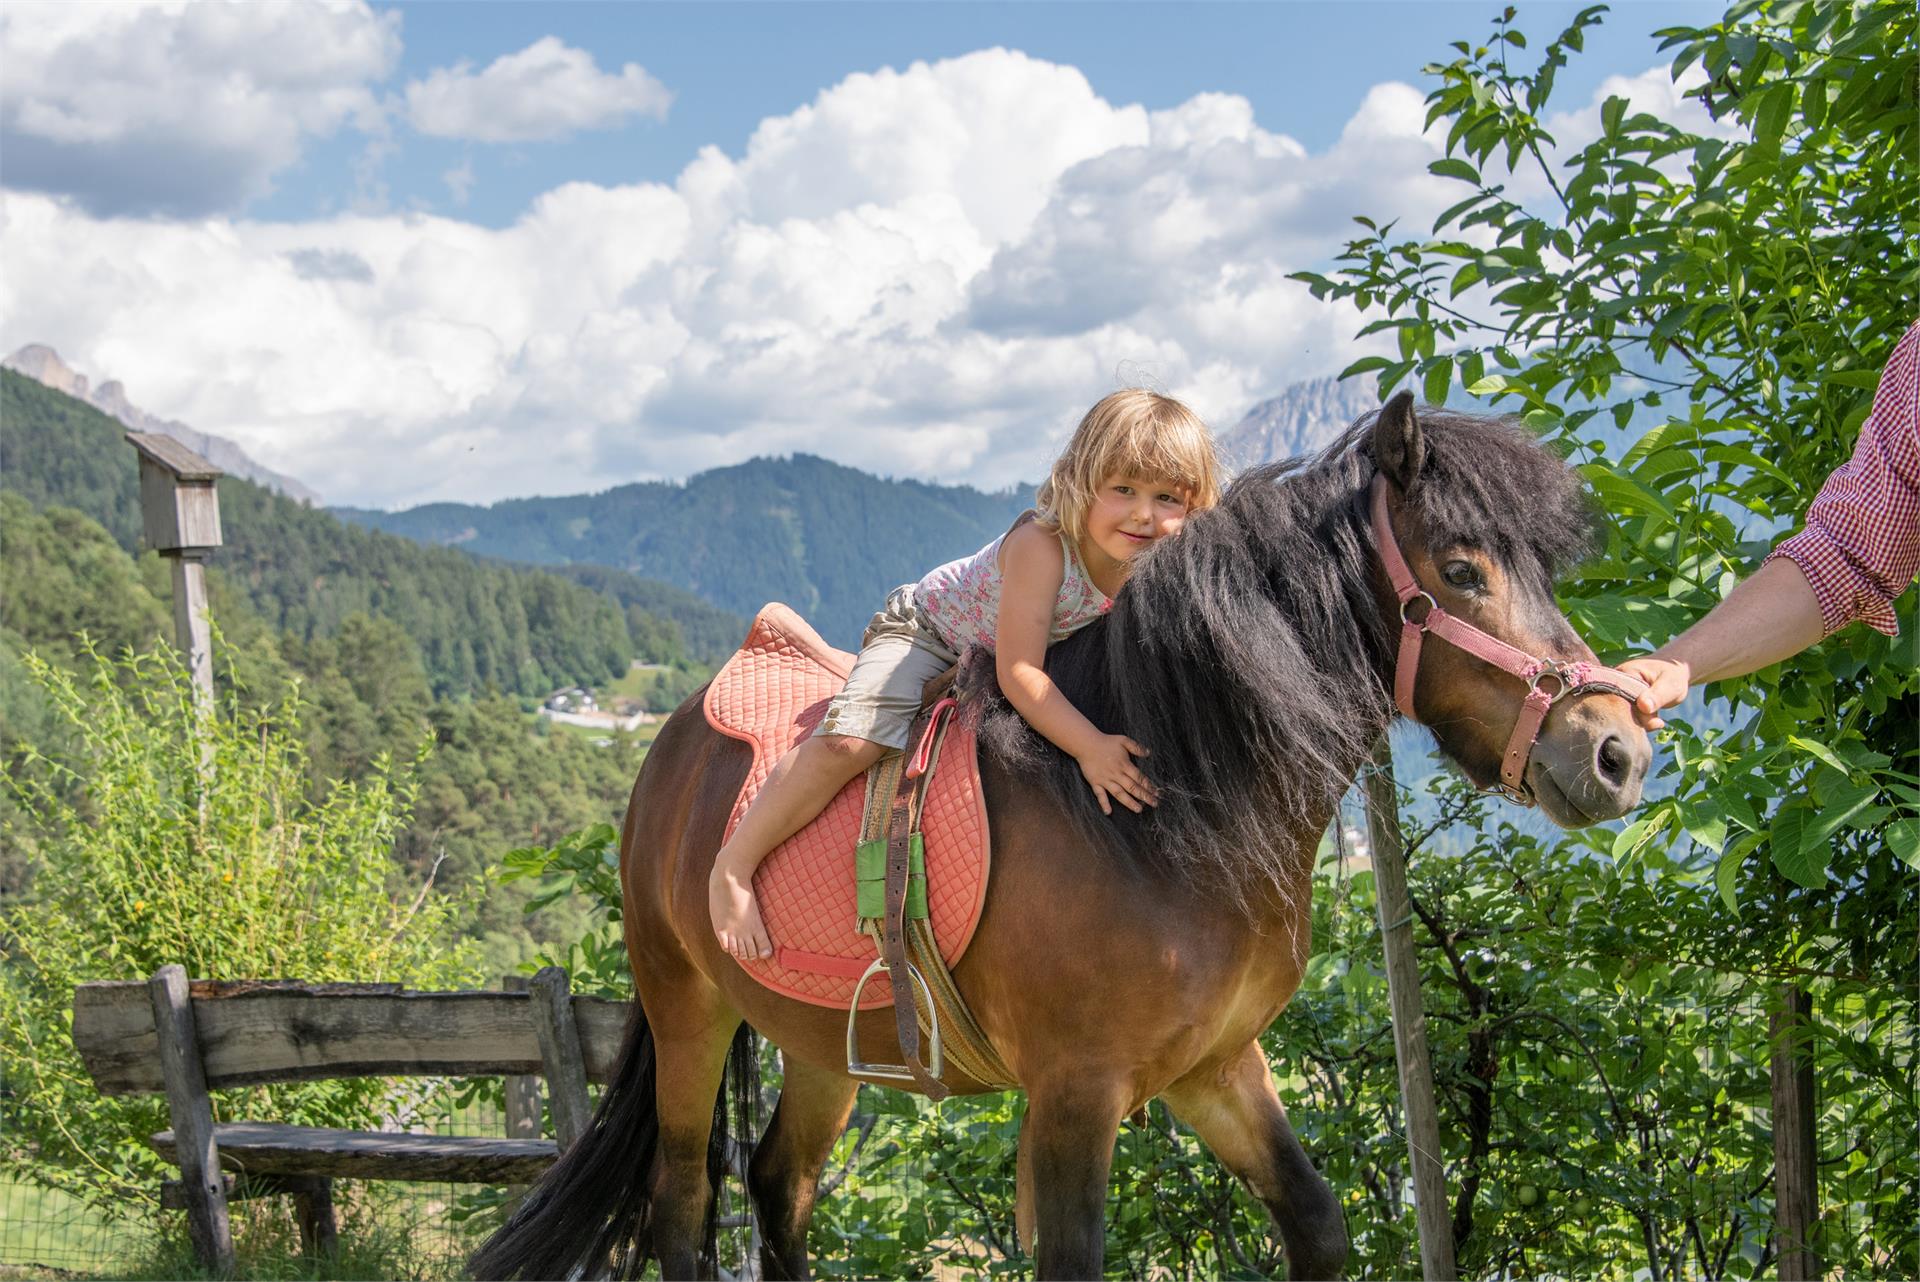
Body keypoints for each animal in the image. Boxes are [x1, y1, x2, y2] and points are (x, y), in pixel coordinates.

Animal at [468, 395, 1651, 1274]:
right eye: (1460, 570)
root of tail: (673, 743)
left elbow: (1315, 1222)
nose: (1618, 749)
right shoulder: (1077, 1098)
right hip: (689, 1009)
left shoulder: (1215, 1064)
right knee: (682, 1200)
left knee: (777, 1184)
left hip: (819, 1040)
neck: (1168, 824)